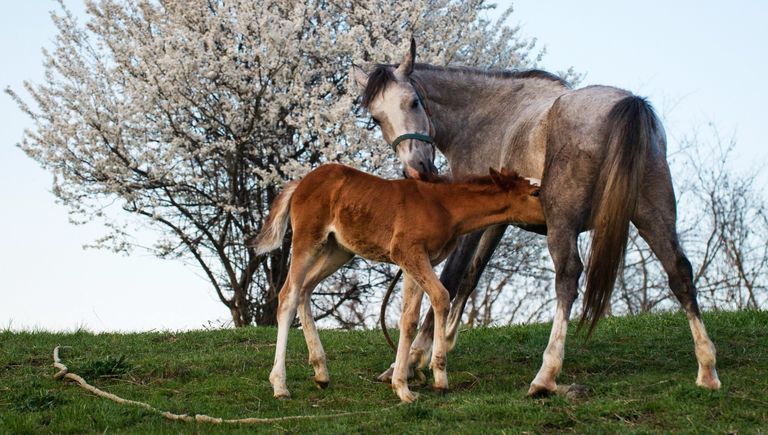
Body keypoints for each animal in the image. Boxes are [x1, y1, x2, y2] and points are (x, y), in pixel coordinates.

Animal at [252, 163, 544, 402]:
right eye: (535, 193)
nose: (550, 217)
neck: (444, 207)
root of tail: (300, 183)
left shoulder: (414, 262)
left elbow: (409, 320)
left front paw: (402, 387)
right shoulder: (409, 252)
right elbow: (441, 297)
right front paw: (439, 377)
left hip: (338, 250)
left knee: (305, 290)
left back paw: (321, 372)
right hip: (308, 239)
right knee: (288, 296)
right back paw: (280, 385)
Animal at [352, 39, 721, 396]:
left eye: (414, 102)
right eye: (376, 118)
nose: (417, 169)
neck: (489, 117)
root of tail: (629, 103)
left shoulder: (470, 223)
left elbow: (451, 278)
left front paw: (413, 360)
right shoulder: (495, 222)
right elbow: (472, 276)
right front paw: (443, 346)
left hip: (564, 223)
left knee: (568, 278)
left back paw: (546, 375)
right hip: (654, 216)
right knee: (679, 272)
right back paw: (707, 368)